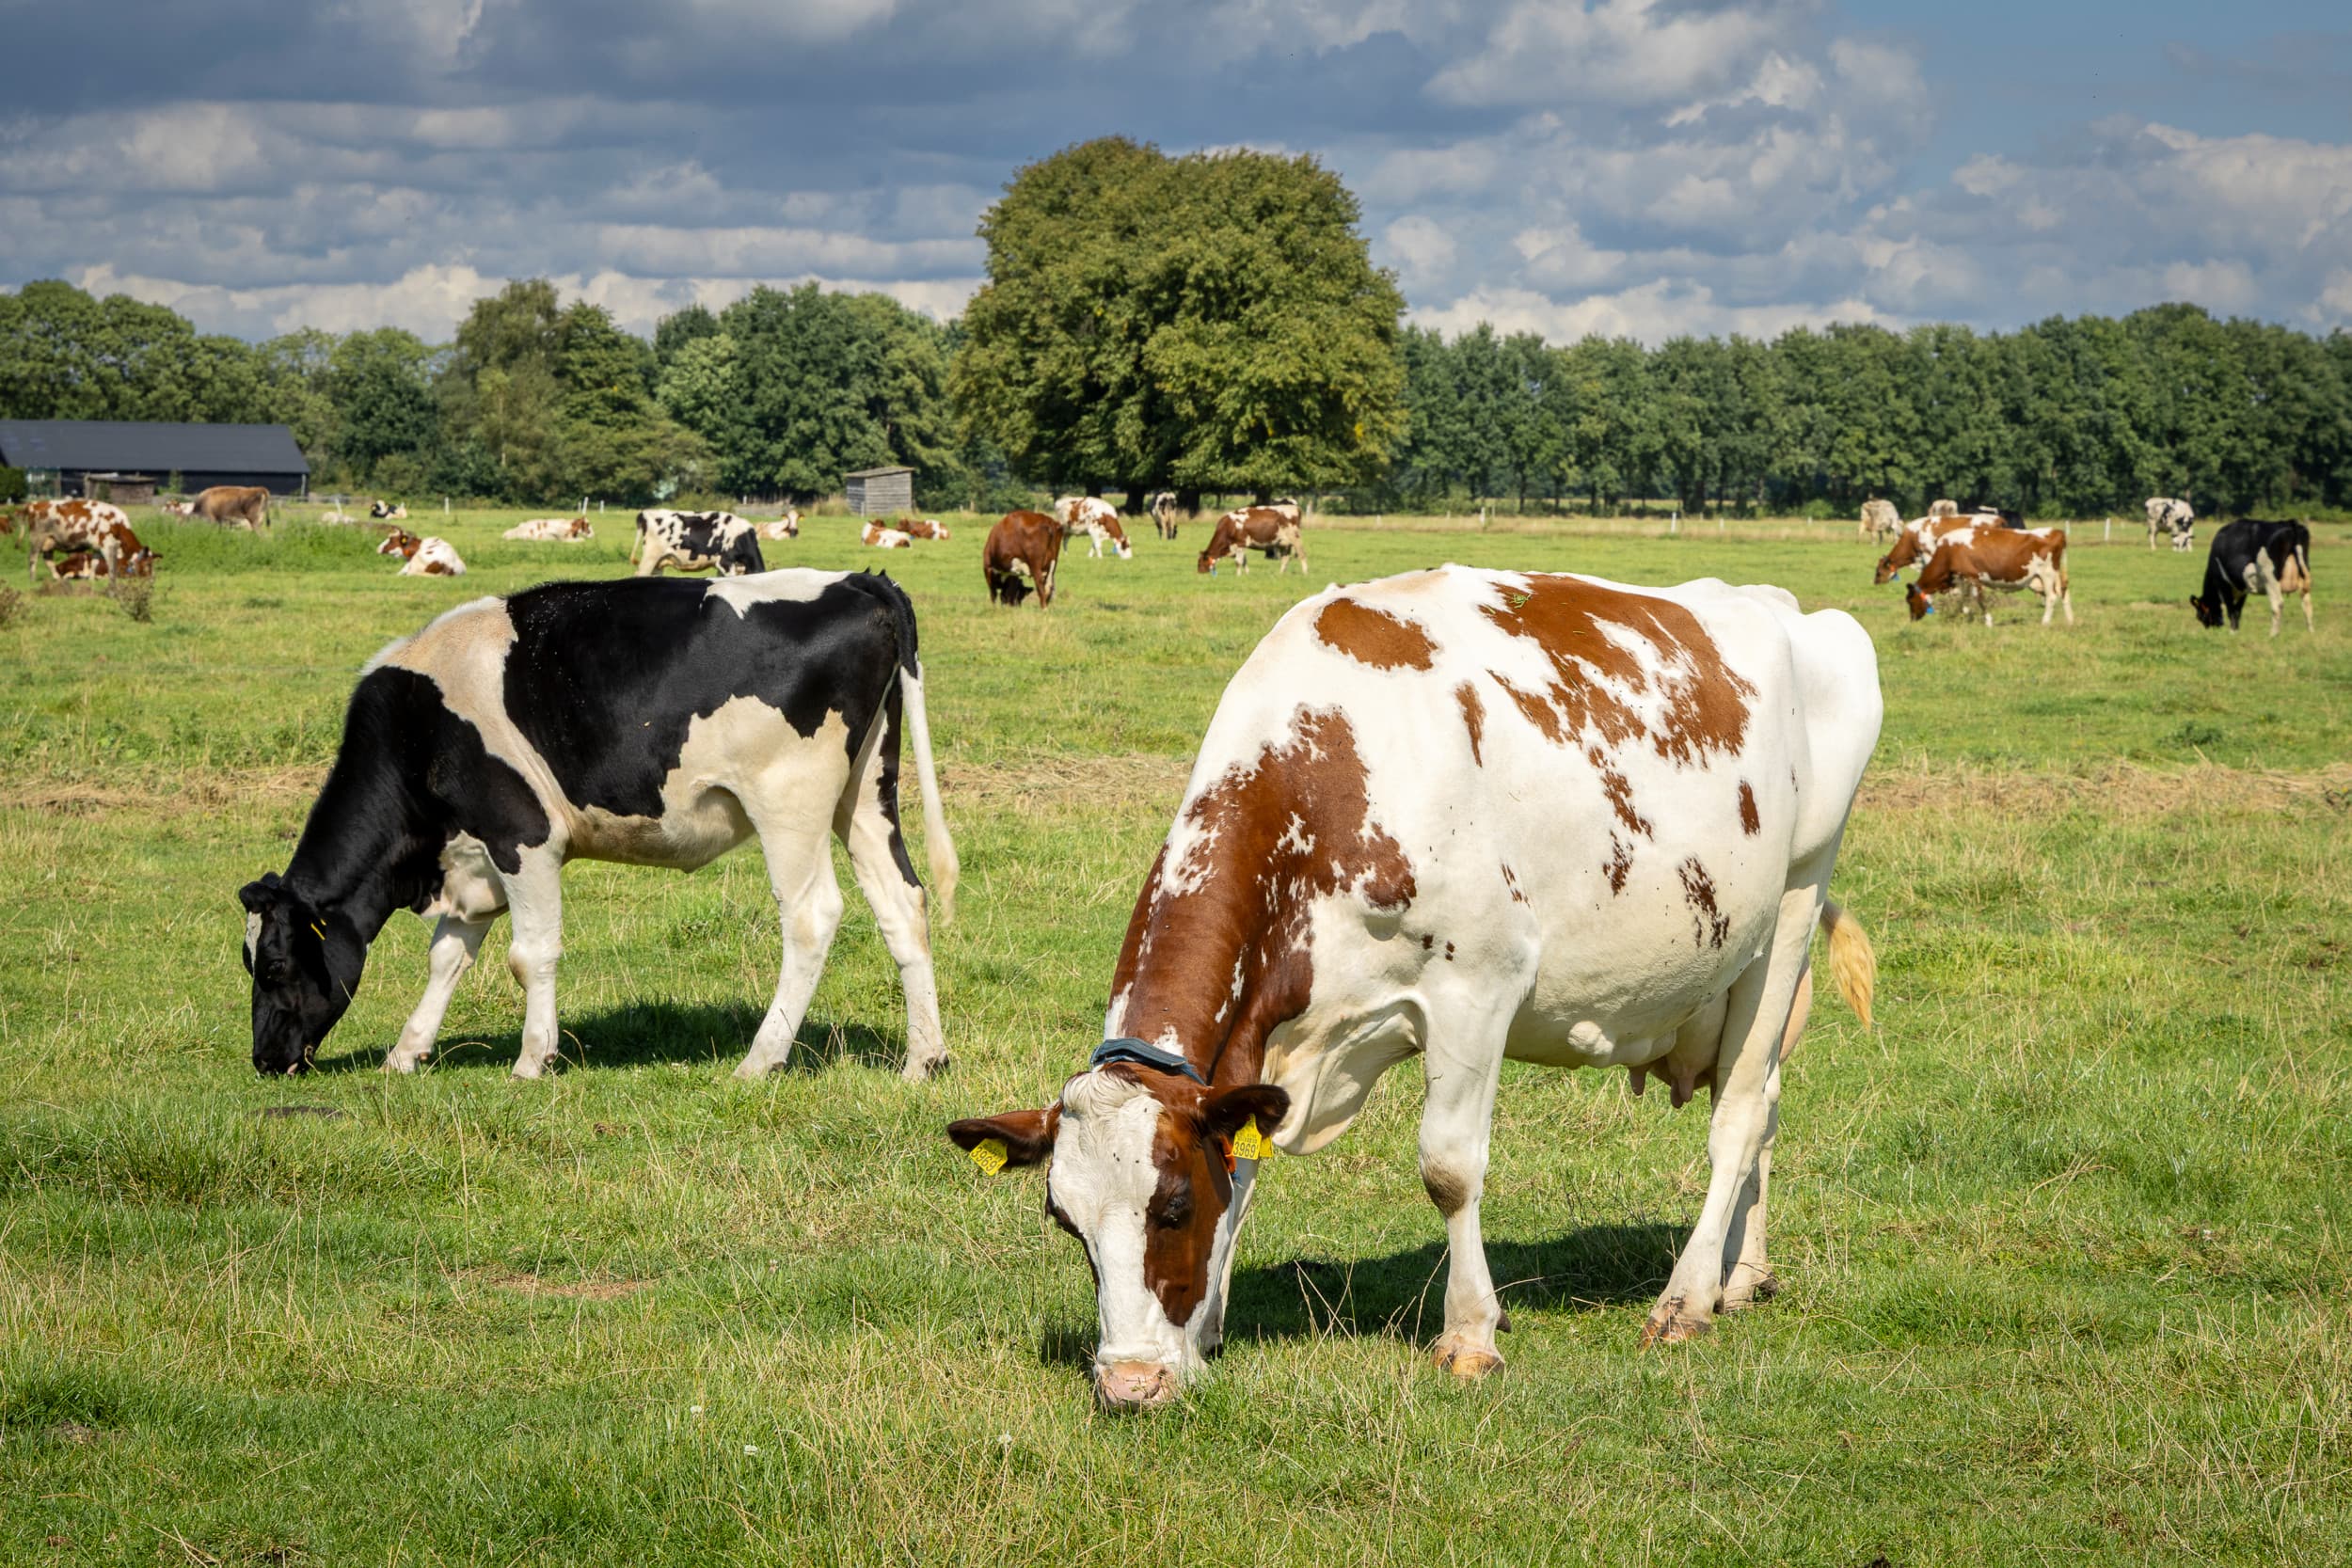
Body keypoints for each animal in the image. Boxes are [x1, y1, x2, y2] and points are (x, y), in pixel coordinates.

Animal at [237, 571, 957, 1083]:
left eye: (273, 963)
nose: (265, 1059)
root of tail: (858, 580)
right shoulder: (473, 857)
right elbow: (447, 956)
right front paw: (406, 1053)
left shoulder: (522, 835)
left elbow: (529, 955)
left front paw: (532, 1059)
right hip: (865, 792)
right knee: (902, 903)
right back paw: (922, 1059)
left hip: (789, 800)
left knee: (811, 916)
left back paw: (760, 1059)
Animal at [947, 567, 1881, 1407]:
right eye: (1066, 1221)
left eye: (1172, 1205)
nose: (1129, 1384)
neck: (1330, 768)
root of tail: (1787, 604)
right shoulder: (1261, 1047)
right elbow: (1243, 1170)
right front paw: (1207, 1327)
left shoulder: (1477, 987)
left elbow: (1449, 1169)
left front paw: (1469, 1335)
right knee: (1764, 1098)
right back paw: (1742, 1274)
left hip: (1792, 903)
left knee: (1740, 1117)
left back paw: (1686, 1299)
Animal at [1903, 529, 2073, 626]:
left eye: (1910, 601)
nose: (1912, 619)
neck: (1949, 550)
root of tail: (2056, 532)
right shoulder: (1963, 578)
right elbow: (1963, 600)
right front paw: (1965, 616)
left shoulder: (1972, 576)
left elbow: (1978, 599)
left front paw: (1988, 621)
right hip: (2053, 575)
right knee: (2064, 592)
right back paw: (2070, 621)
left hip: (2047, 573)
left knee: (2052, 597)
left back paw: (2045, 622)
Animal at [2191, 519, 2314, 637]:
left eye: (2200, 616)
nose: (2211, 628)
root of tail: (2290, 522)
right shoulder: (2242, 588)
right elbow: (2238, 610)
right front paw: (2236, 631)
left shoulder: (2223, 584)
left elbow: (2231, 610)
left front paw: (2232, 632)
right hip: (2304, 572)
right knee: (2307, 604)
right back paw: (2310, 633)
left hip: (2270, 577)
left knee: (2278, 603)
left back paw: (2273, 634)